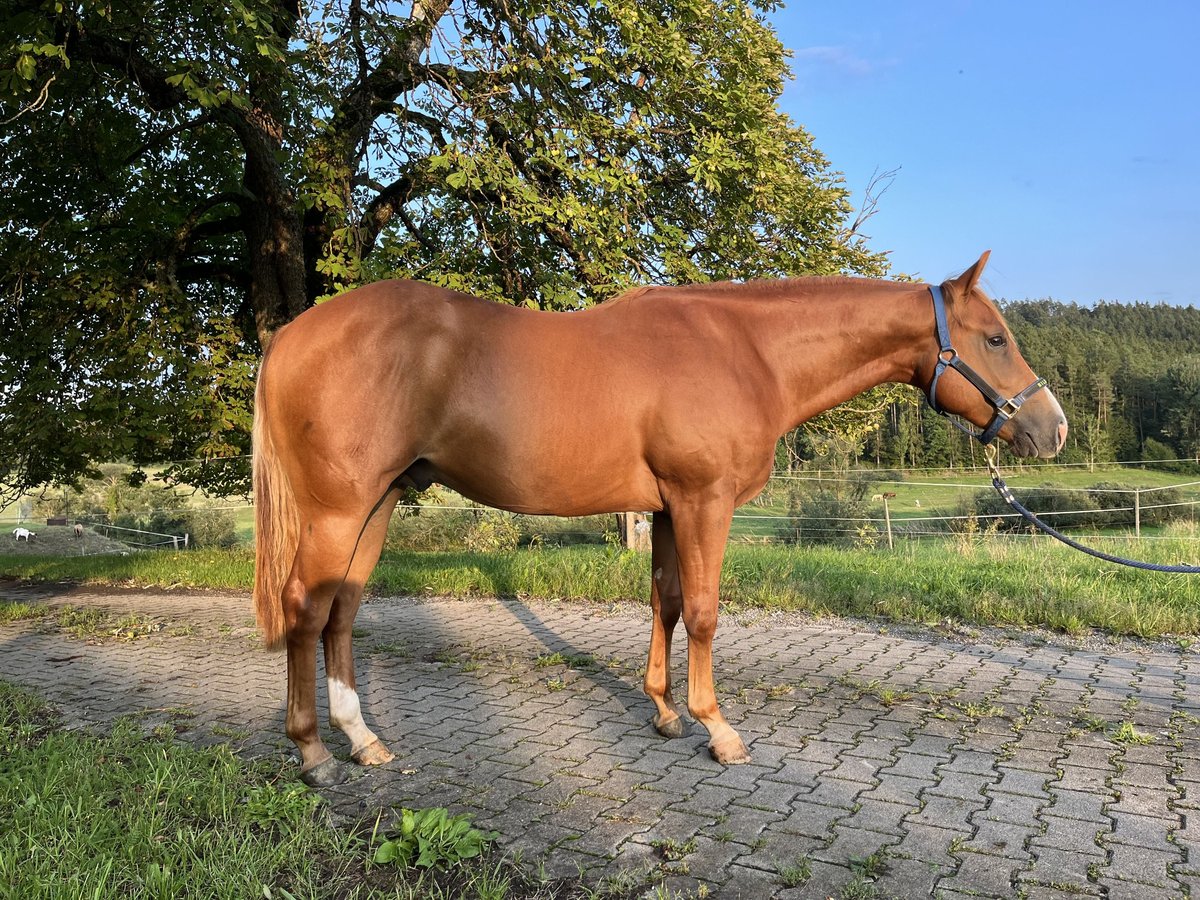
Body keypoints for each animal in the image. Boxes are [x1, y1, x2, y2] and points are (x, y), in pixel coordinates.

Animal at [253, 250, 1070, 787]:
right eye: (995, 338)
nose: (1053, 429)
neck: (748, 352)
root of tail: (289, 336)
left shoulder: (671, 507)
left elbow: (667, 603)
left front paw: (665, 713)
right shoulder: (704, 500)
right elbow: (704, 612)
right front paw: (719, 730)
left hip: (379, 502)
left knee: (342, 613)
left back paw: (362, 740)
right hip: (339, 510)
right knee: (305, 608)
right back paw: (314, 754)